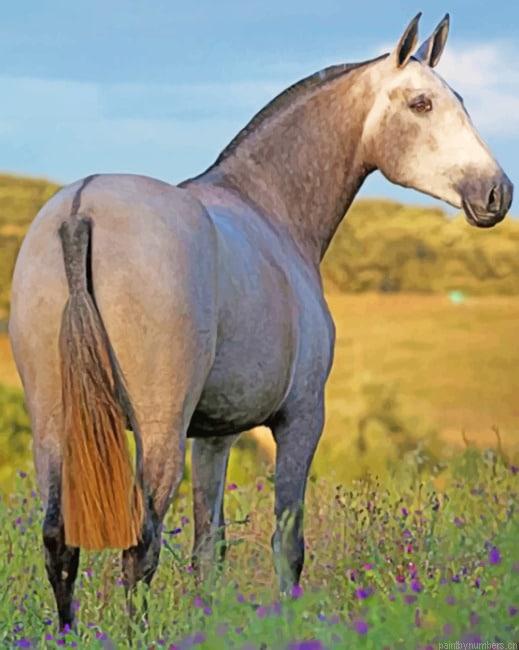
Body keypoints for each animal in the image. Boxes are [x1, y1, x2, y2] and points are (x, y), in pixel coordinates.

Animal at [8, 12, 513, 630]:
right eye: (421, 103)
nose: (496, 192)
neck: (270, 208)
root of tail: (81, 210)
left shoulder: (214, 437)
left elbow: (209, 548)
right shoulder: (301, 420)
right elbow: (287, 546)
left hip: (54, 425)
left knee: (60, 543)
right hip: (157, 429)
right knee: (139, 547)